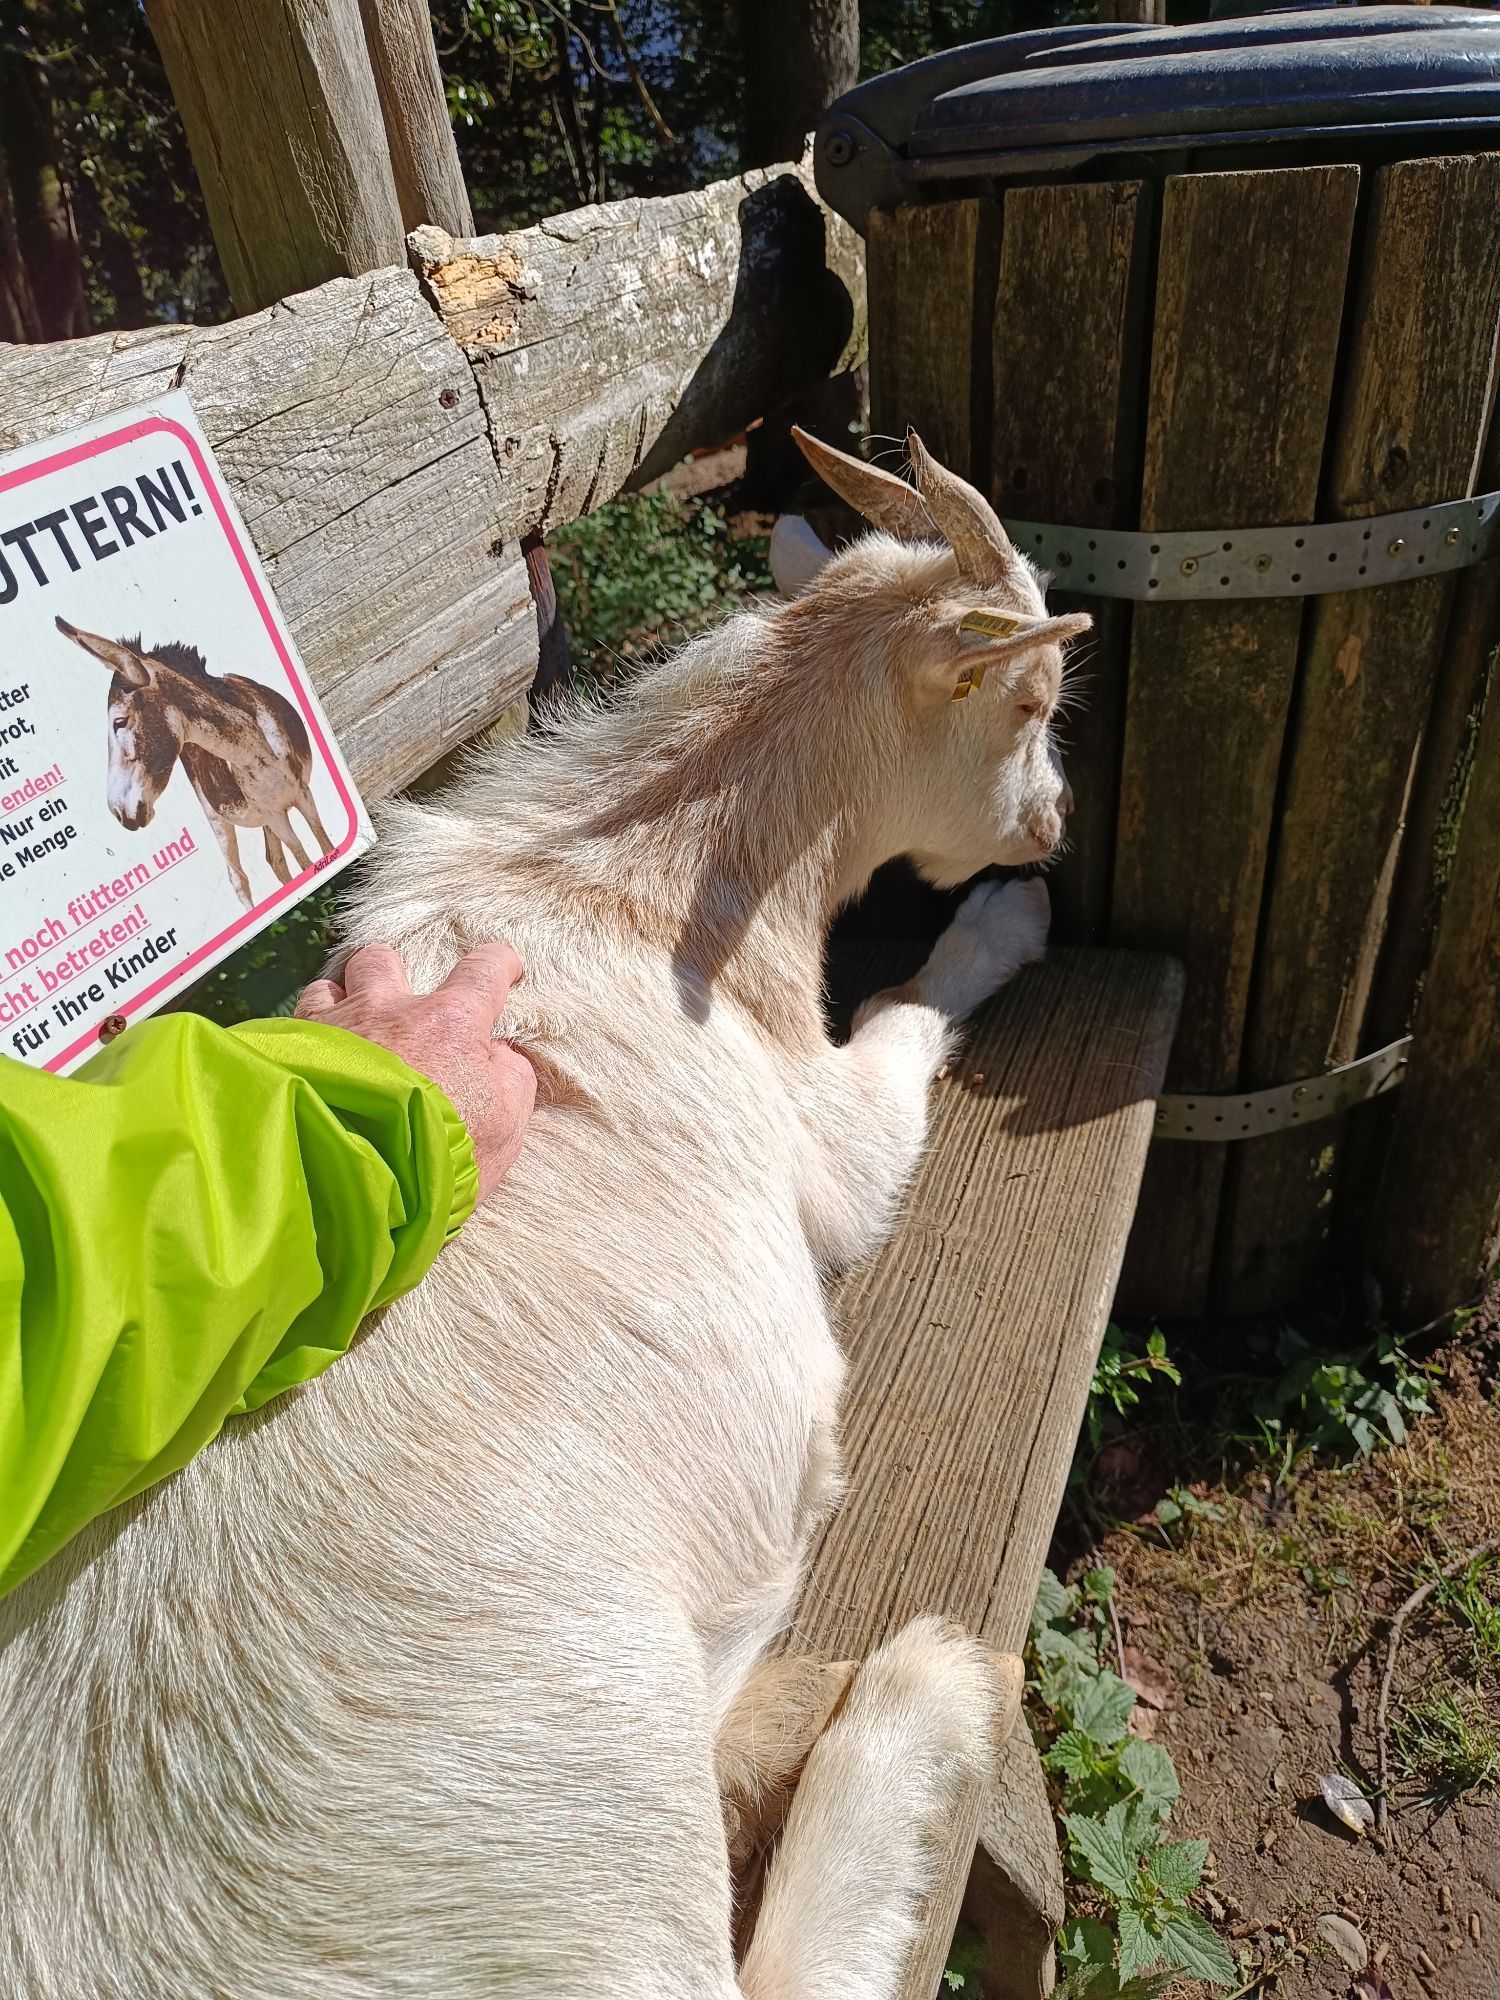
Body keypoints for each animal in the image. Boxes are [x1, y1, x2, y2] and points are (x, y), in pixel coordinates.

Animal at [0, 430, 1096, 1992]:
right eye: (1036, 698)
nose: (1053, 829)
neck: (616, 887)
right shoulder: (827, 1136)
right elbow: (902, 1021)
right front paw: (1006, 919)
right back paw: (921, 1687)